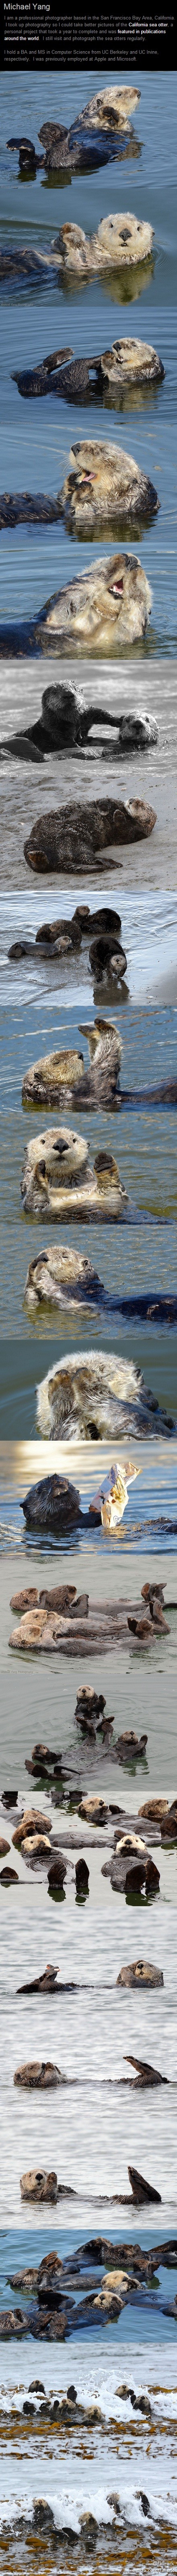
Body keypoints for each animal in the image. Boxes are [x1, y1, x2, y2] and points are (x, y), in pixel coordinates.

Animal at [24, 788, 156, 870]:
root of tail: (59, 860)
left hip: (81, 846)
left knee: (86, 858)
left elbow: (123, 835)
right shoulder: (113, 801)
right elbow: (104, 802)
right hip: (34, 842)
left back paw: (110, 863)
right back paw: (37, 857)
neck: (129, 817)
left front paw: (118, 815)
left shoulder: (137, 833)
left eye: (142, 806)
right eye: (136, 798)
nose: (131, 801)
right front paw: (106, 811)